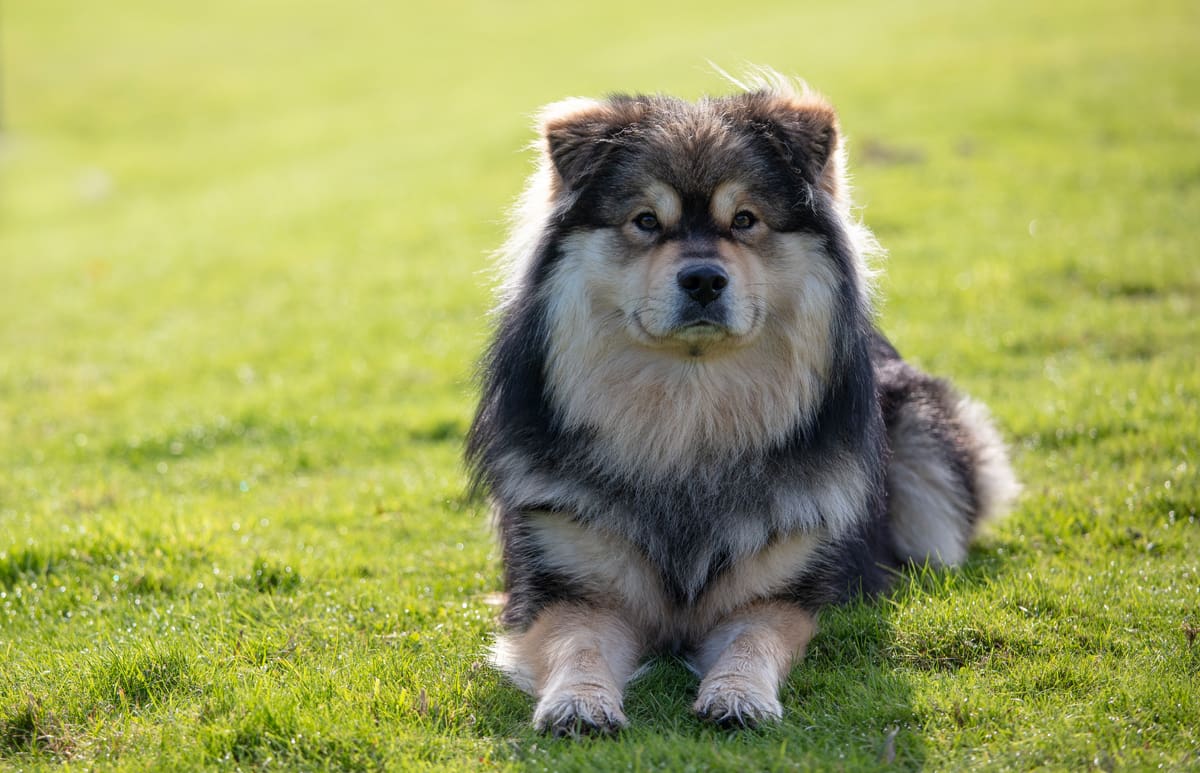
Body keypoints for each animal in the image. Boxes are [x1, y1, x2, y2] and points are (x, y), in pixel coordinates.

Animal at [463, 72, 1017, 734]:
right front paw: (579, 701)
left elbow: (755, 639)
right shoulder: (567, 583)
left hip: (925, 443)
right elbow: (579, 642)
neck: (689, 413)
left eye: (745, 219)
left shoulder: (782, 590)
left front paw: (738, 694)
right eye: (646, 221)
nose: (703, 279)